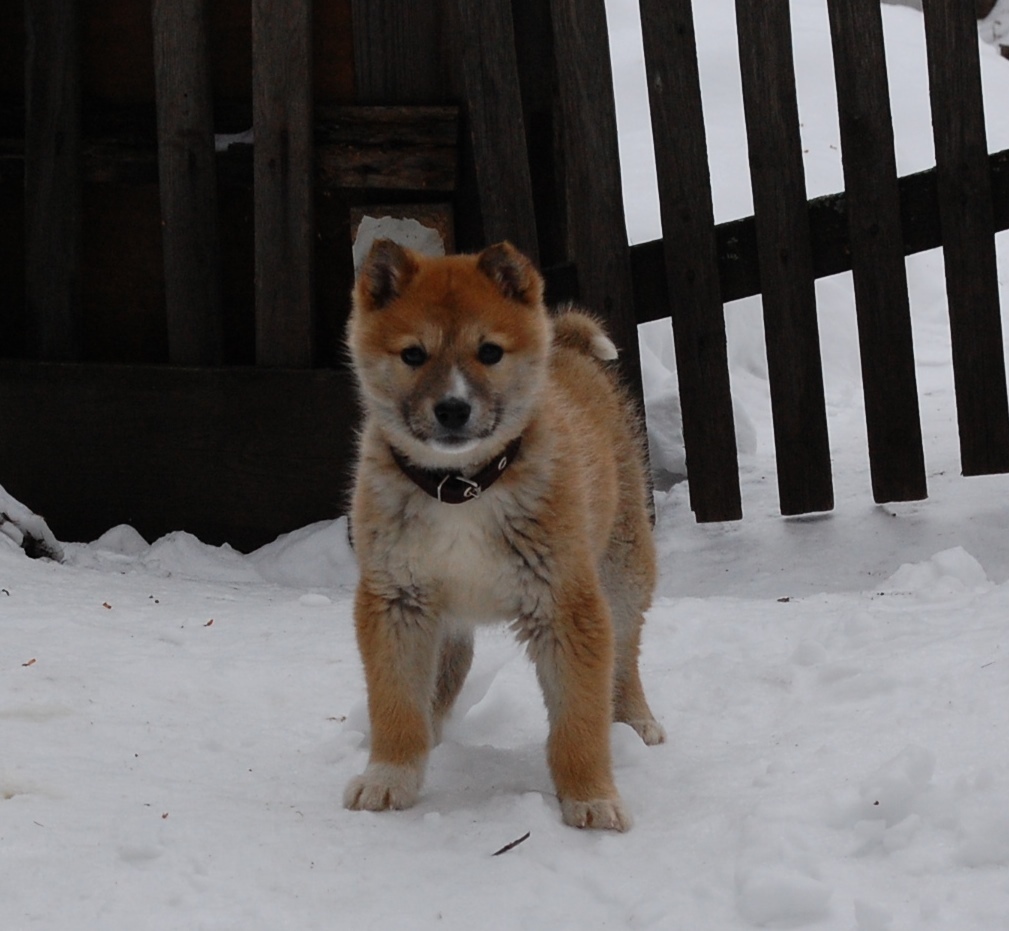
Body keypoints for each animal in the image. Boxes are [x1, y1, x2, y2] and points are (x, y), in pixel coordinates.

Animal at [343, 238, 665, 831]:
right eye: (413, 355)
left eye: (489, 352)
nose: (452, 408)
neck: (461, 487)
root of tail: (569, 350)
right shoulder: (396, 600)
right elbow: (397, 704)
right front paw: (389, 776)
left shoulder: (567, 605)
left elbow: (579, 719)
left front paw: (591, 795)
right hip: (446, 615)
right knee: (448, 675)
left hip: (624, 570)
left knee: (626, 653)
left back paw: (635, 721)